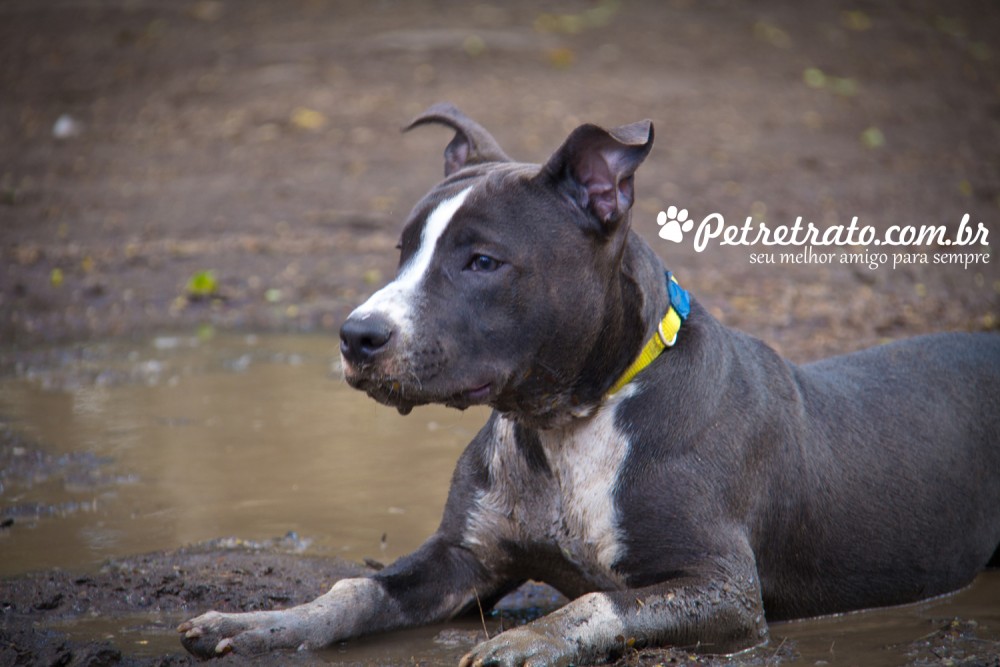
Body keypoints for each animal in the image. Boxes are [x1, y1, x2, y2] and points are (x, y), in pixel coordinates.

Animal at [180, 104, 1000, 667]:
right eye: (403, 248)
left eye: (483, 261)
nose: (357, 336)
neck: (566, 423)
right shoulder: (462, 558)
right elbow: (354, 591)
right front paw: (258, 624)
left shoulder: (723, 586)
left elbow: (600, 601)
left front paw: (526, 641)